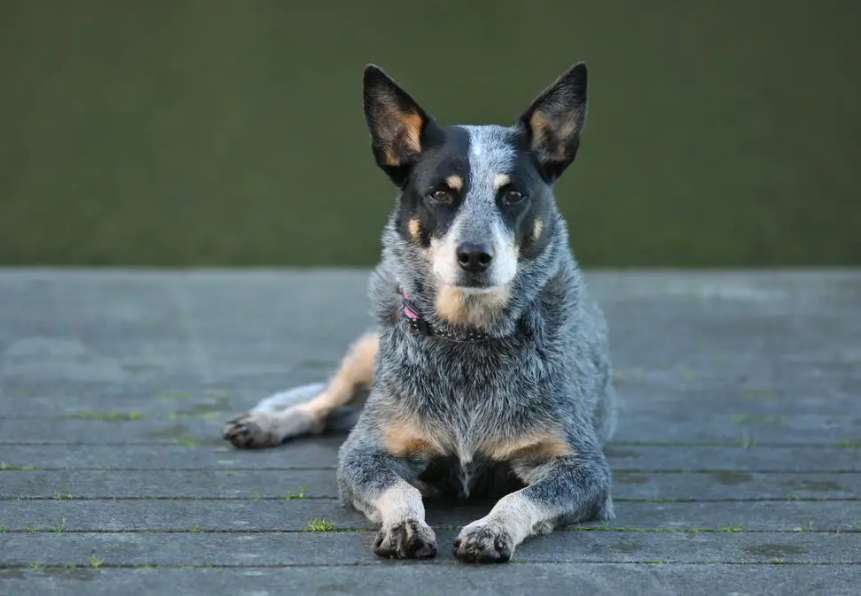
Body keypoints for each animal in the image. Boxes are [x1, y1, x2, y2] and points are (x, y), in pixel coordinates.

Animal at [222, 64, 612, 564]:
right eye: (440, 194)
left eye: (514, 195)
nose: (474, 255)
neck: (468, 339)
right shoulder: (364, 454)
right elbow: (399, 488)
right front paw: (405, 524)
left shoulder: (583, 467)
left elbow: (520, 496)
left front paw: (491, 529)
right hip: (366, 349)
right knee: (323, 404)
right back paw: (266, 424)